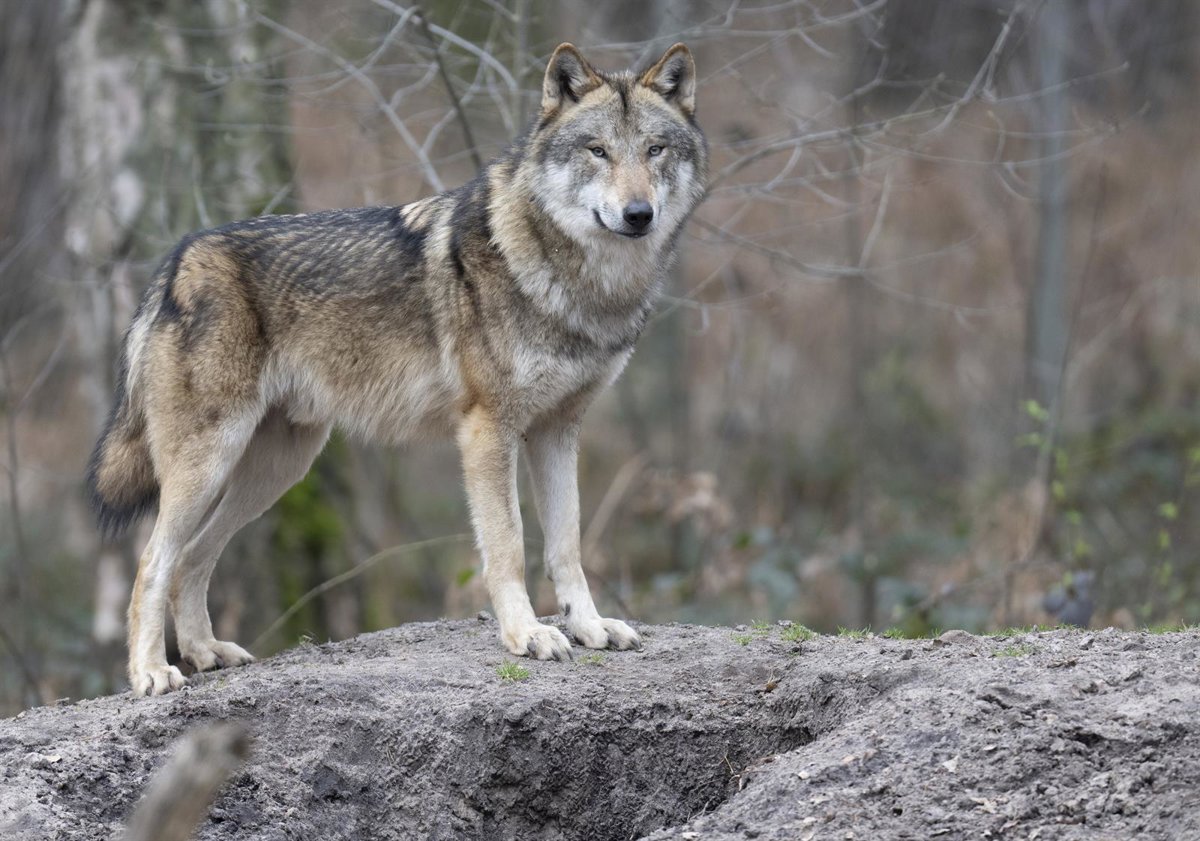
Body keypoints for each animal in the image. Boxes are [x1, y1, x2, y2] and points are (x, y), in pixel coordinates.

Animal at [87, 43, 708, 696]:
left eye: (654, 150)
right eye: (597, 150)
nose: (638, 214)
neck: (579, 285)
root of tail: (176, 261)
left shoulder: (558, 432)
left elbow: (567, 546)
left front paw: (588, 627)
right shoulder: (488, 430)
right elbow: (509, 546)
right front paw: (527, 635)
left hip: (275, 471)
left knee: (192, 558)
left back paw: (206, 653)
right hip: (211, 464)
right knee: (153, 562)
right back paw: (151, 672)